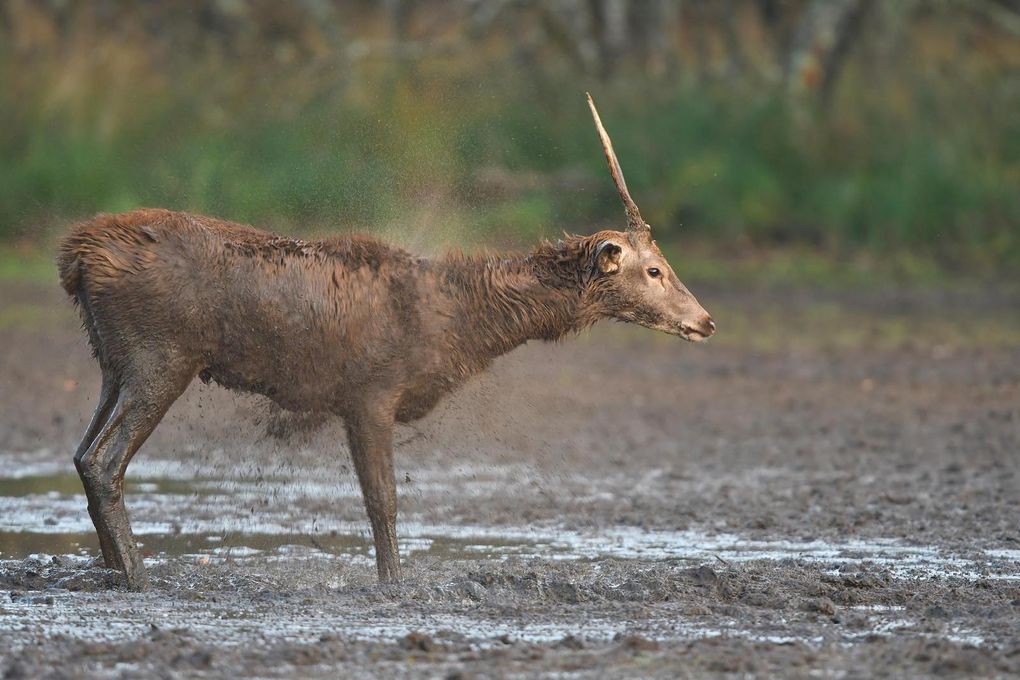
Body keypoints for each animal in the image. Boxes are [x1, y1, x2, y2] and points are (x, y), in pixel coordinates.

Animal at [57, 93, 718, 587]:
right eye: (654, 270)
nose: (707, 320)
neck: (460, 323)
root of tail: (76, 254)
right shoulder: (370, 392)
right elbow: (384, 503)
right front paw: (394, 584)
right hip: (162, 354)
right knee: (104, 460)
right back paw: (139, 578)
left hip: (112, 359)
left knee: (82, 454)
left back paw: (114, 572)